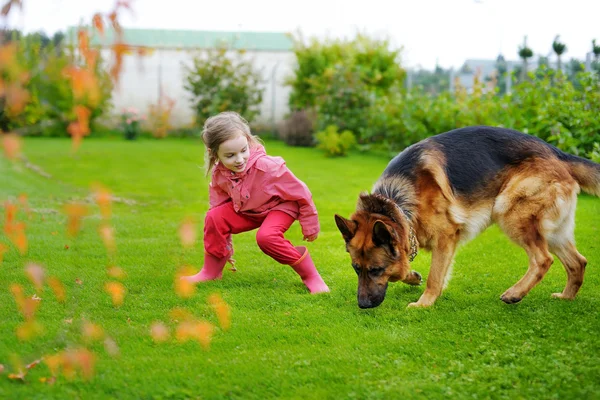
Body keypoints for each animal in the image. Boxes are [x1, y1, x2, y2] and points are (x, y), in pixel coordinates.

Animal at [336, 126, 596, 308]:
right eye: (356, 269)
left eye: (376, 270)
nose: (363, 305)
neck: (395, 201)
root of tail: (556, 152)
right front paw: (411, 276)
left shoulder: (445, 237)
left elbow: (434, 277)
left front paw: (424, 303)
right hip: (553, 231)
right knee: (578, 262)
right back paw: (566, 297)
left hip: (508, 211)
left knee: (543, 259)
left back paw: (515, 293)